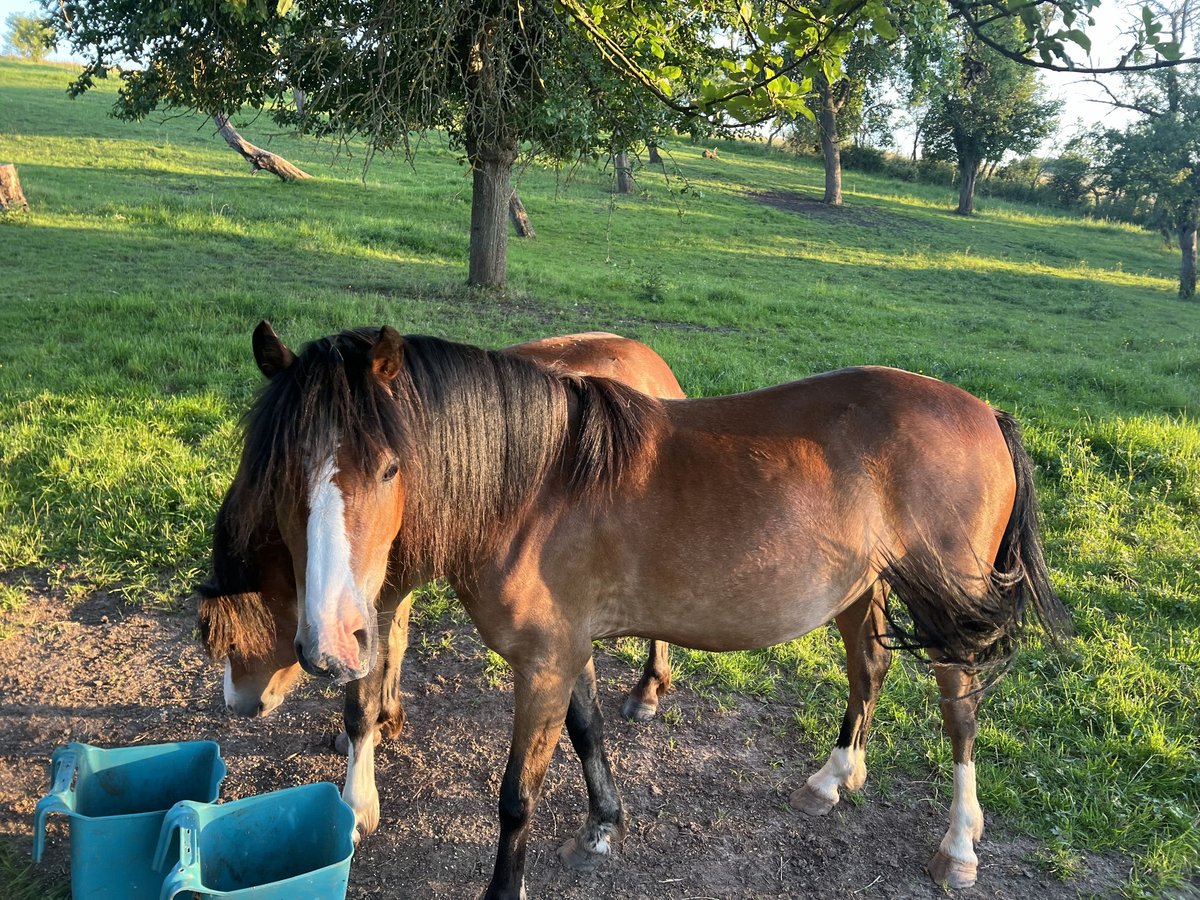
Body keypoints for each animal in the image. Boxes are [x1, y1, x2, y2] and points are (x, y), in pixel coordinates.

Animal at [231, 321, 1070, 897]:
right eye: (280, 470)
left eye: (389, 467)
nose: (331, 643)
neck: (531, 489)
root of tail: (988, 413)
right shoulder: (568, 650)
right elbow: (588, 732)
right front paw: (604, 825)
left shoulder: (543, 663)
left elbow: (516, 795)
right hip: (862, 589)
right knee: (869, 670)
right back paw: (836, 776)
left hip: (949, 609)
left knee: (960, 712)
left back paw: (959, 843)